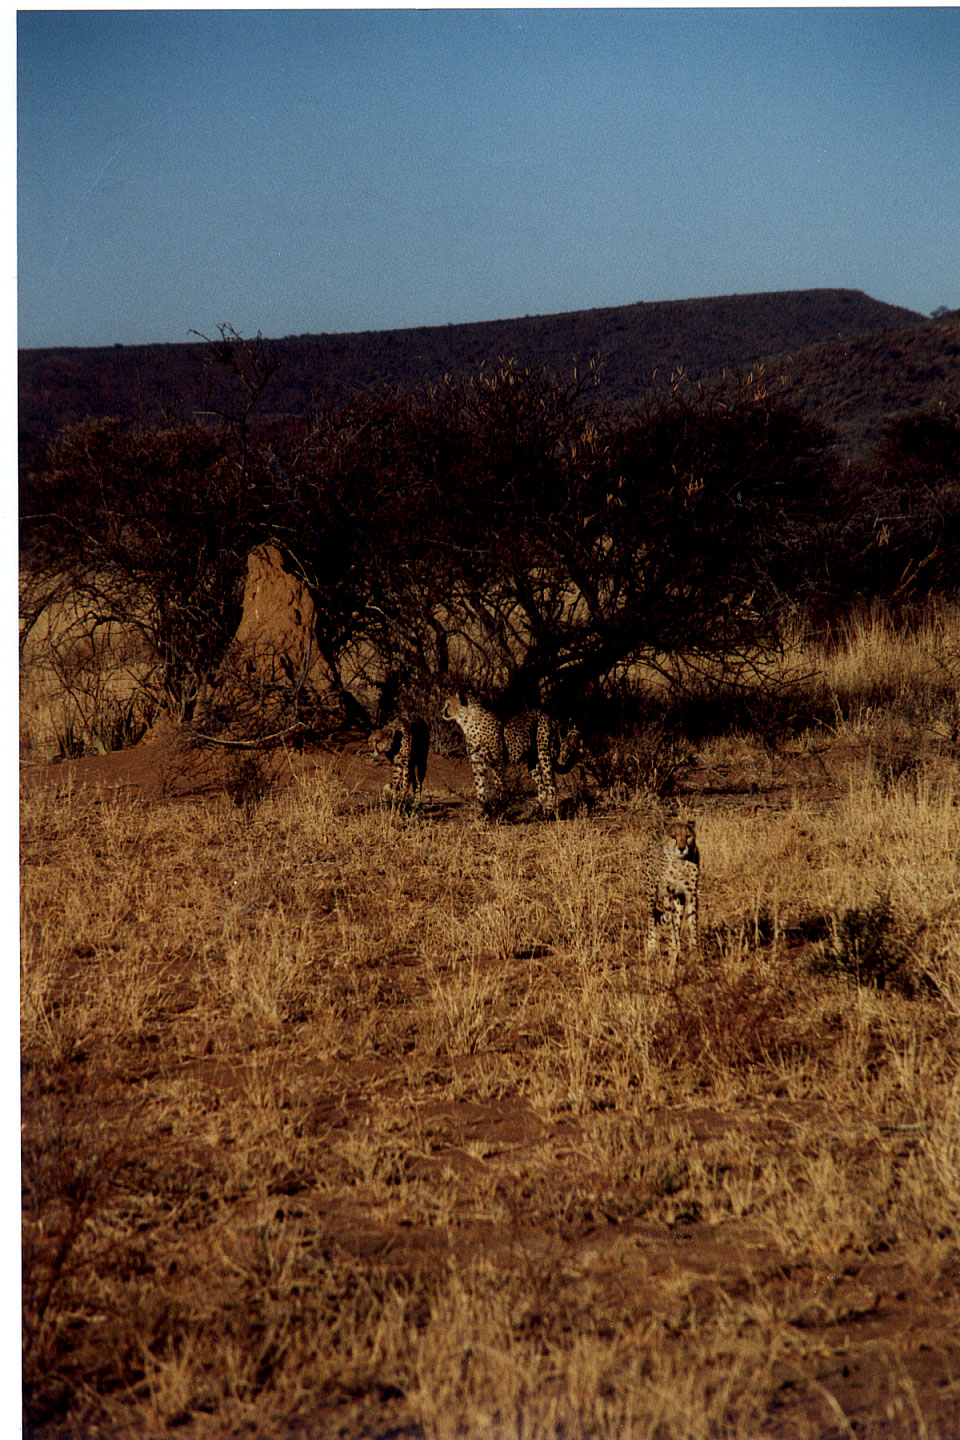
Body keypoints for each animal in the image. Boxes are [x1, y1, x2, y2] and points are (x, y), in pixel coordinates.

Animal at [440, 694, 581, 823]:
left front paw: (498, 813)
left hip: (544, 753)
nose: (441, 712)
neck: (467, 721)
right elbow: (480, 789)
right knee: (542, 787)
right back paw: (533, 811)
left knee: (551, 785)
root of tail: (549, 715)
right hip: (532, 761)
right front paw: (481, 814)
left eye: (448, 704)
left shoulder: (497, 762)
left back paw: (548, 811)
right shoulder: (477, 763)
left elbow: (499, 788)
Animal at [641, 817, 702, 961]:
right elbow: (669, 925)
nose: (682, 848)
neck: (680, 863)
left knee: (677, 921)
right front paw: (671, 950)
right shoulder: (667, 893)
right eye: (673, 836)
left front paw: (694, 952)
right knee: (651, 918)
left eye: (688, 836)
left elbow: (692, 921)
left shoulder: (690, 892)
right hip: (651, 892)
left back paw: (678, 949)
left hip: (679, 899)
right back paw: (652, 947)